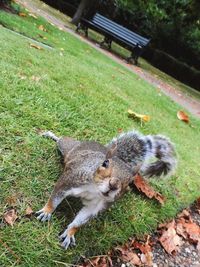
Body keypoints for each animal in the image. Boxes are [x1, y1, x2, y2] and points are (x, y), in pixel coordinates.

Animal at [36, 130, 177, 249]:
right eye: (105, 163)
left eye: (129, 182)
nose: (113, 184)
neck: (95, 189)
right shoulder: (70, 181)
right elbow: (55, 198)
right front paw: (47, 211)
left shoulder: (96, 206)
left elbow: (81, 220)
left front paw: (70, 233)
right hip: (68, 147)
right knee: (62, 139)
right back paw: (50, 135)